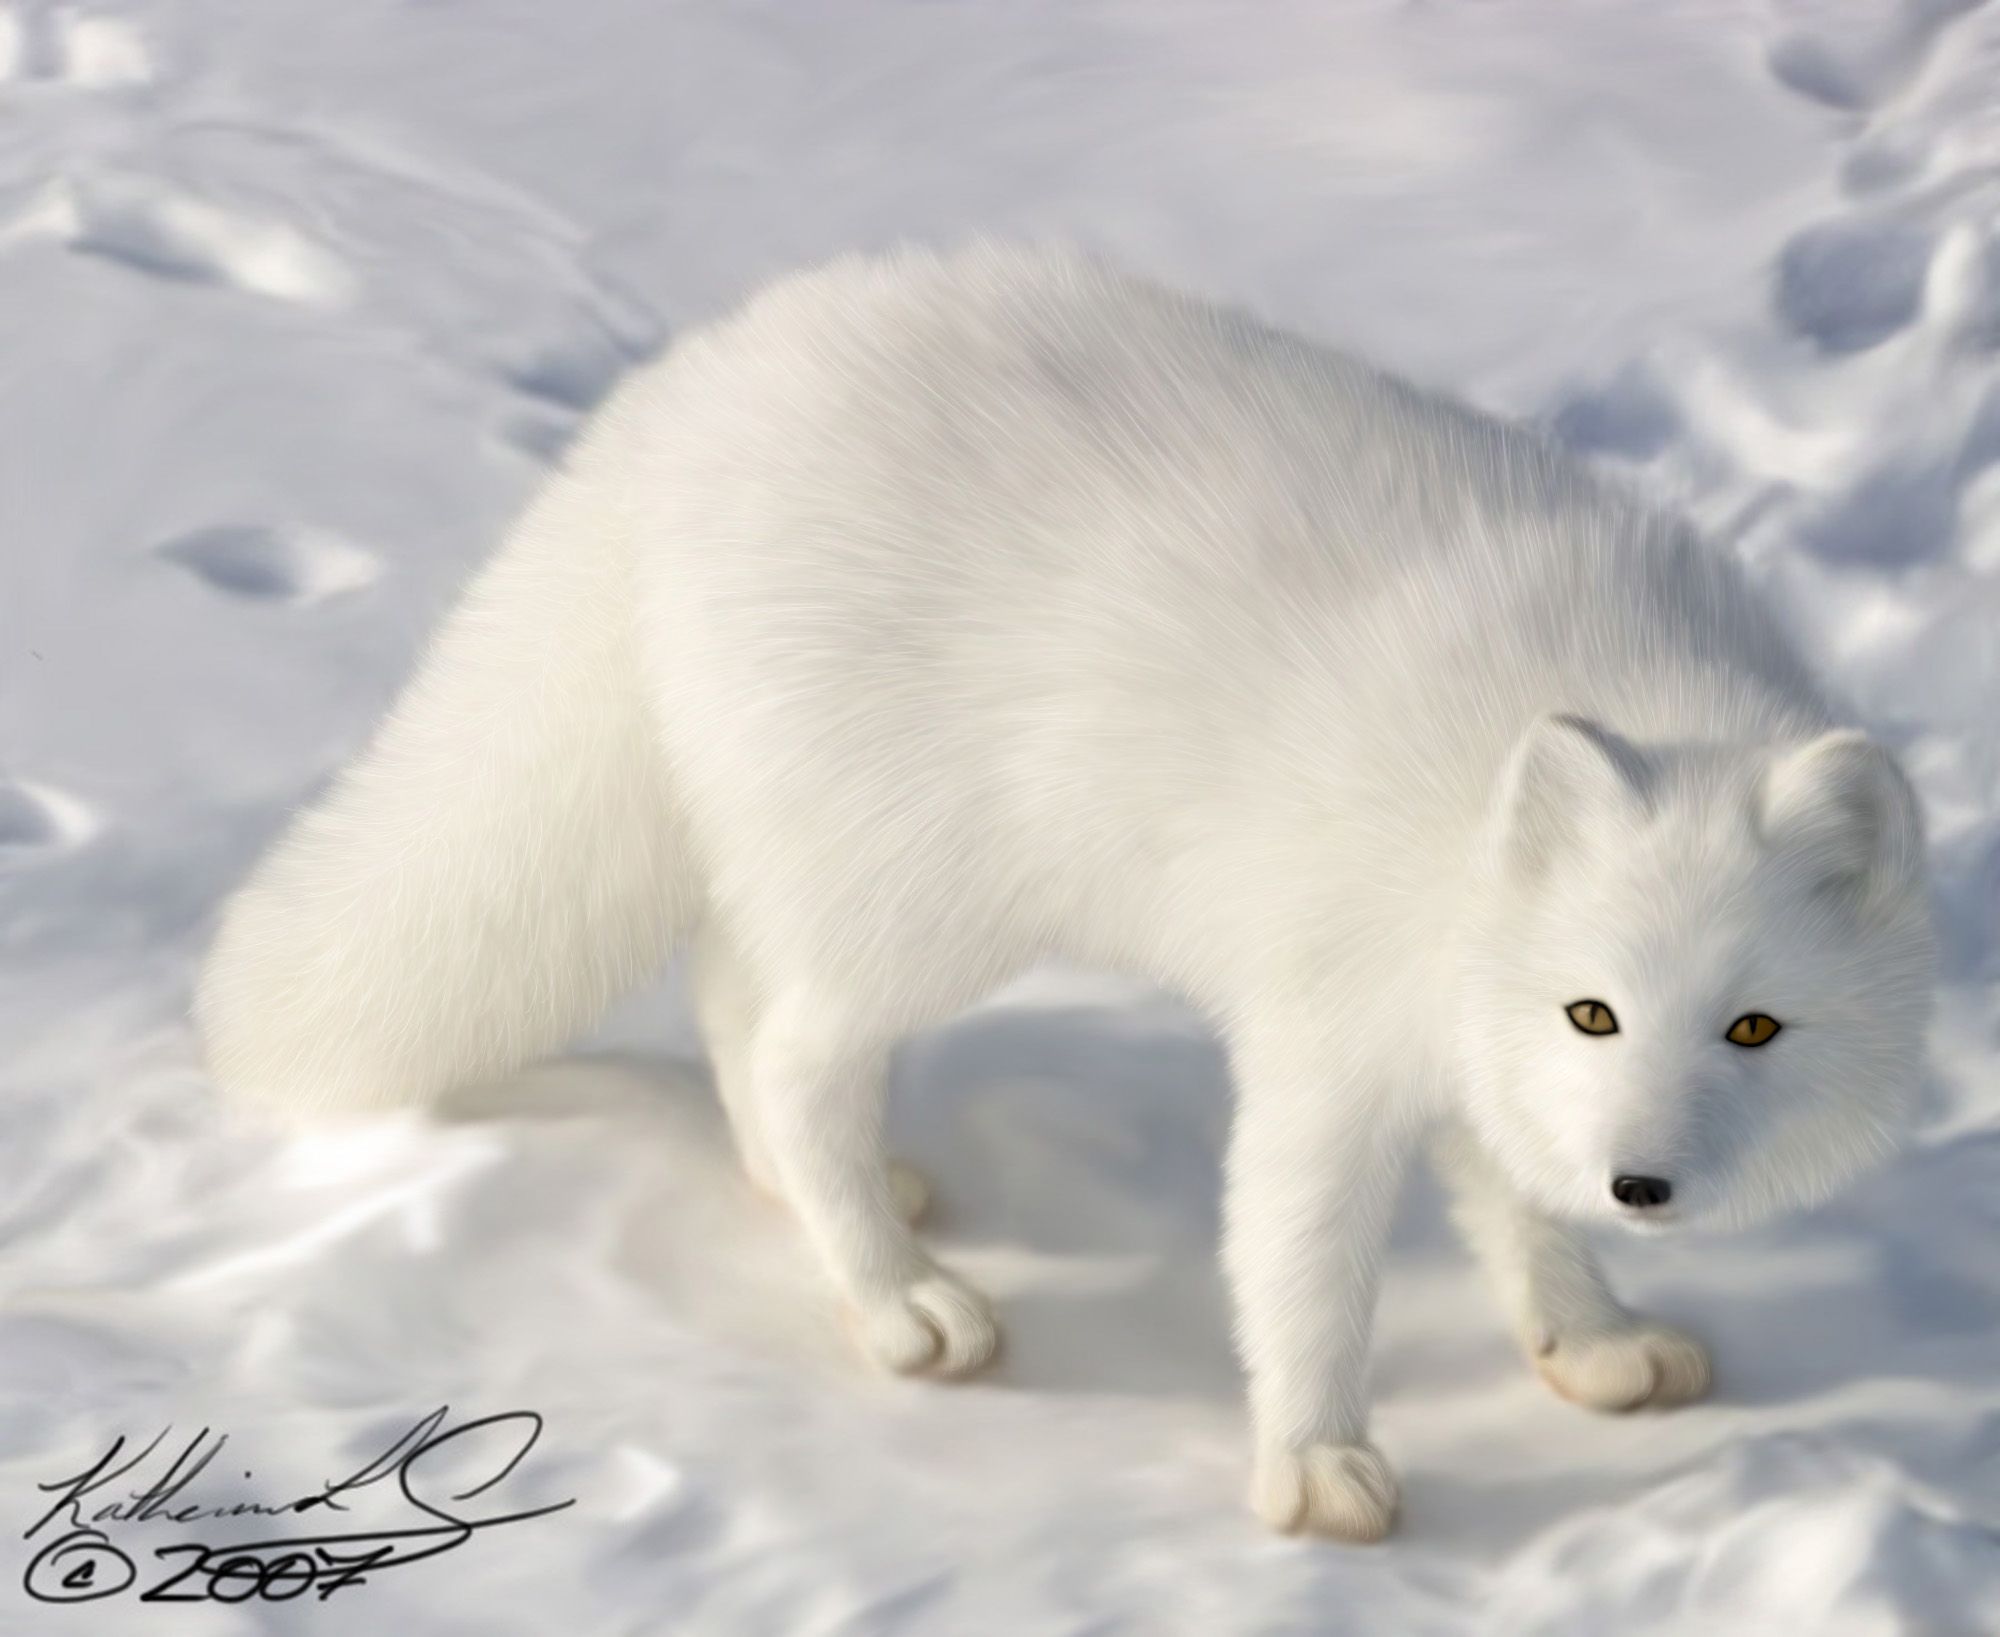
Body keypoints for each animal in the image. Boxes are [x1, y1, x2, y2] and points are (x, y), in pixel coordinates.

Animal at [196, 242, 1937, 1542]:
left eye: (1754, 1027)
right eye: (1596, 1010)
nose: (1644, 1181)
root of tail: (686, 391)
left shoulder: (1455, 1038)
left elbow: (1518, 1211)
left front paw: (1590, 1336)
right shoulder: (1327, 1039)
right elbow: (1303, 1268)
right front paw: (1314, 1464)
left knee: (739, 1000)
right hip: (929, 897)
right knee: (793, 1049)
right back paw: (897, 1302)